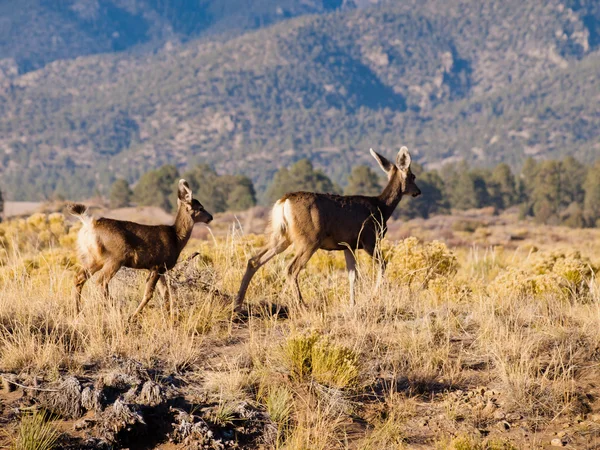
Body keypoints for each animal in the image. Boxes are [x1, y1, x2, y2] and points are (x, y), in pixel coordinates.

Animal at [68, 179, 213, 320]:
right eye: (201, 208)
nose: (210, 217)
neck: (176, 238)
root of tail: (89, 224)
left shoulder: (160, 268)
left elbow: (166, 293)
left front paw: (171, 317)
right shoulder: (157, 265)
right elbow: (149, 294)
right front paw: (133, 316)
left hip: (94, 258)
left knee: (79, 277)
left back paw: (77, 313)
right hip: (116, 257)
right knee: (101, 281)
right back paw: (118, 310)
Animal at [234, 146, 422, 312]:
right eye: (413, 176)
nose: (418, 192)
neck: (382, 208)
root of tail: (284, 201)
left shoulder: (348, 245)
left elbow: (352, 275)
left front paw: (352, 304)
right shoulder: (369, 239)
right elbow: (382, 265)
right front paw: (374, 296)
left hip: (281, 236)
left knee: (254, 260)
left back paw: (237, 303)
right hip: (309, 239)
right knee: (291, 268)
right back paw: (302, 306)